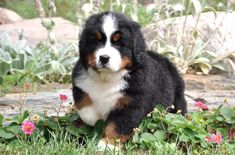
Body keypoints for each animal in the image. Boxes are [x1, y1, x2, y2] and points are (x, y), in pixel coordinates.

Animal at [71, 11, 187, 150]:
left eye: (118, 43)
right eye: (96, 41)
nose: (104, 58)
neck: (106, 78)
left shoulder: (131, 103)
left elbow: (117, 125)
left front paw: (109, 145)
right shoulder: (80, 85)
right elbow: (84, 104)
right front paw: (93, 119)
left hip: (177, 101)